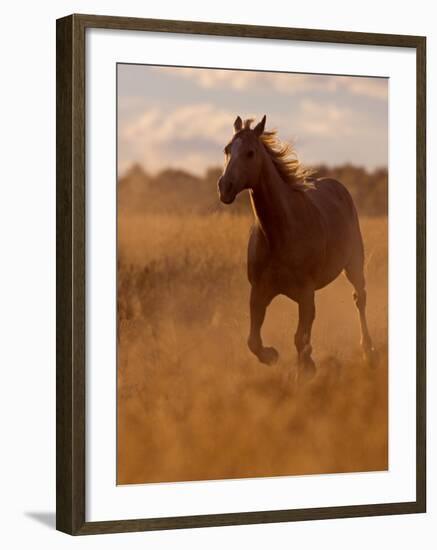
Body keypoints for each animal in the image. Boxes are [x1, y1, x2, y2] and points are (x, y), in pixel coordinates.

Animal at [216, 114, 372, 382]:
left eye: (250, 152)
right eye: (227, 149)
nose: (225, 187)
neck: (280, 233)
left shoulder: (306, 293)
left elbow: (300, 339)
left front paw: (306, 371)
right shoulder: (259, 292)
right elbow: (253, 341)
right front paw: (273, 356)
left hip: (354, 264)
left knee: (359, 299)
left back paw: (367, 350)